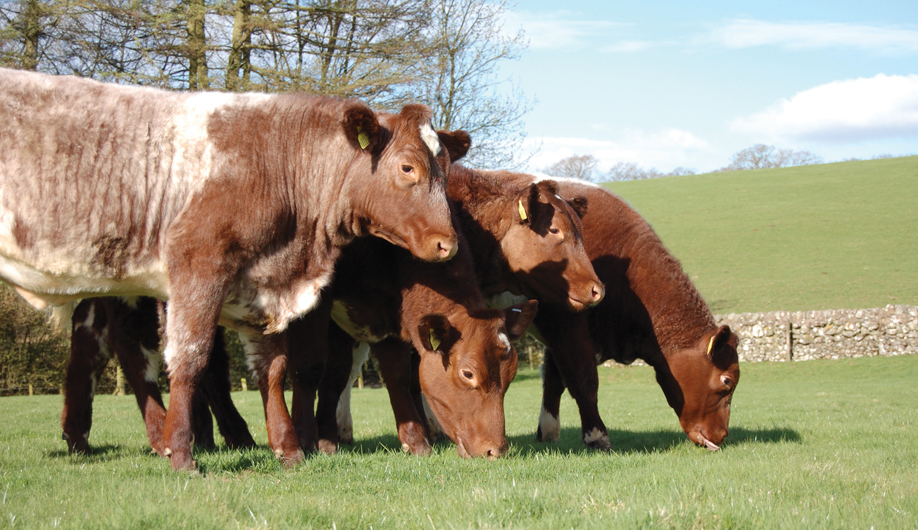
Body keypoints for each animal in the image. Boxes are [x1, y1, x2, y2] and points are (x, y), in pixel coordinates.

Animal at [0, 68, 464, 468]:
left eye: (446, 170)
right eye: (407, 166)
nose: (449, 242)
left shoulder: (263, 284)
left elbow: (273, 368)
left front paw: (287, 449)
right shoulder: (199, 267)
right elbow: (190, 358)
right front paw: (183, 454)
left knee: (99, 348)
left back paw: (86, 437)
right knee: (132, 350)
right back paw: (162, 440)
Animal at [536, 177, 744, 450]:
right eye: (727, 381)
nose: (722, 435)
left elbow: (553, 381)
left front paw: (547, 434)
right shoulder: (566, 324)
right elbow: (583, 379)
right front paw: (596, 436)